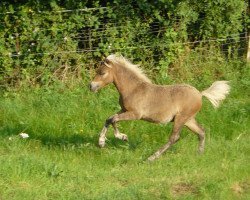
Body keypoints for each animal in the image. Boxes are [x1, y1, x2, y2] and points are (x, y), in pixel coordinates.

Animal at [90, 54, 230, 161]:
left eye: (102, 73)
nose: (91, 86)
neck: (133, 89)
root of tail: (200, 94)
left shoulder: (135, 114)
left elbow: (114, 120)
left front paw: (122, 137)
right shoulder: (124, 110)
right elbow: (109, 119)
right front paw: (101, 142)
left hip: (181, 118)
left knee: (174, 138)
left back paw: (151, 158)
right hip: (188, 120)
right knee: (201, 132)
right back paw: (199, 154)